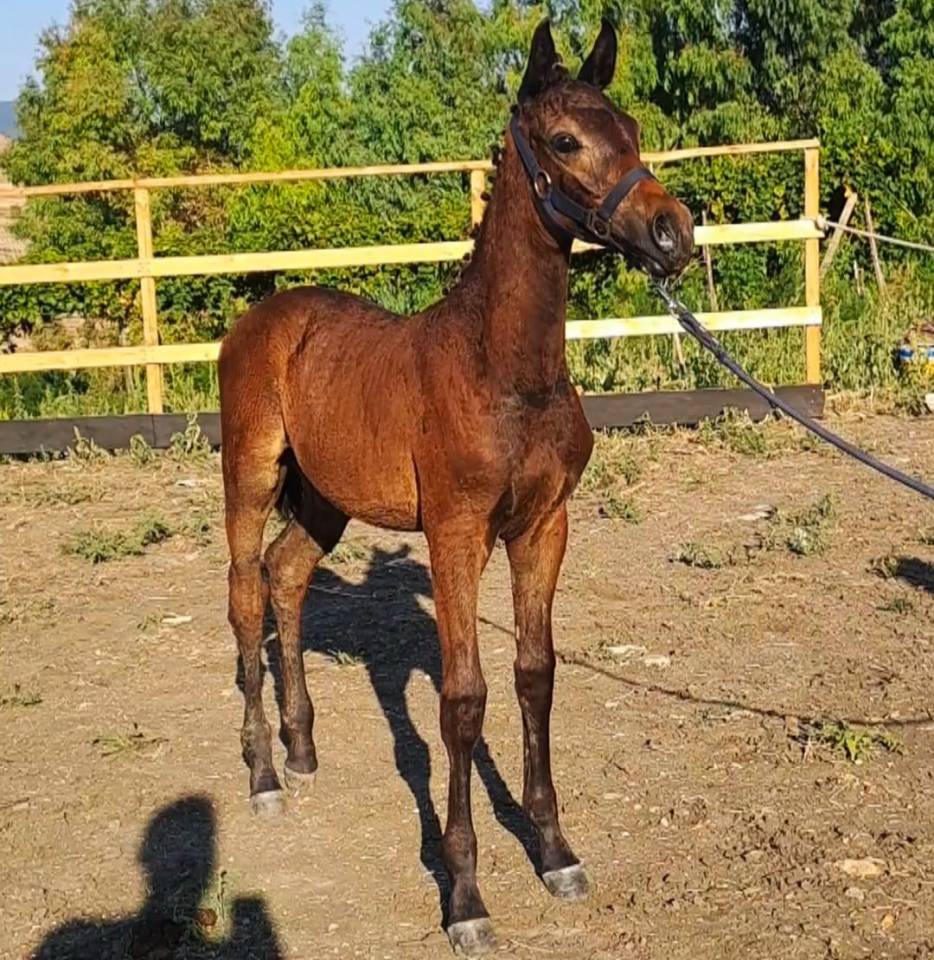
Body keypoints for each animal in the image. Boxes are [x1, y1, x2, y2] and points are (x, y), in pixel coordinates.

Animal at [218, 18, 693, 956]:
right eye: (565, 140)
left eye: (631, 128)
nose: (672, 234)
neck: (503, 370)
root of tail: (262, 318)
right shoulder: (456, 533)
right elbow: (462, 703)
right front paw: (467, 894)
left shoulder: (544, 527)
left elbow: (535, 674)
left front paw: (554, 851)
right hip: (249, 479)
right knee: (246, 591)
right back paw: (262, 774)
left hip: (325, 499)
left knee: (288, 578)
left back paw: (301, 748)